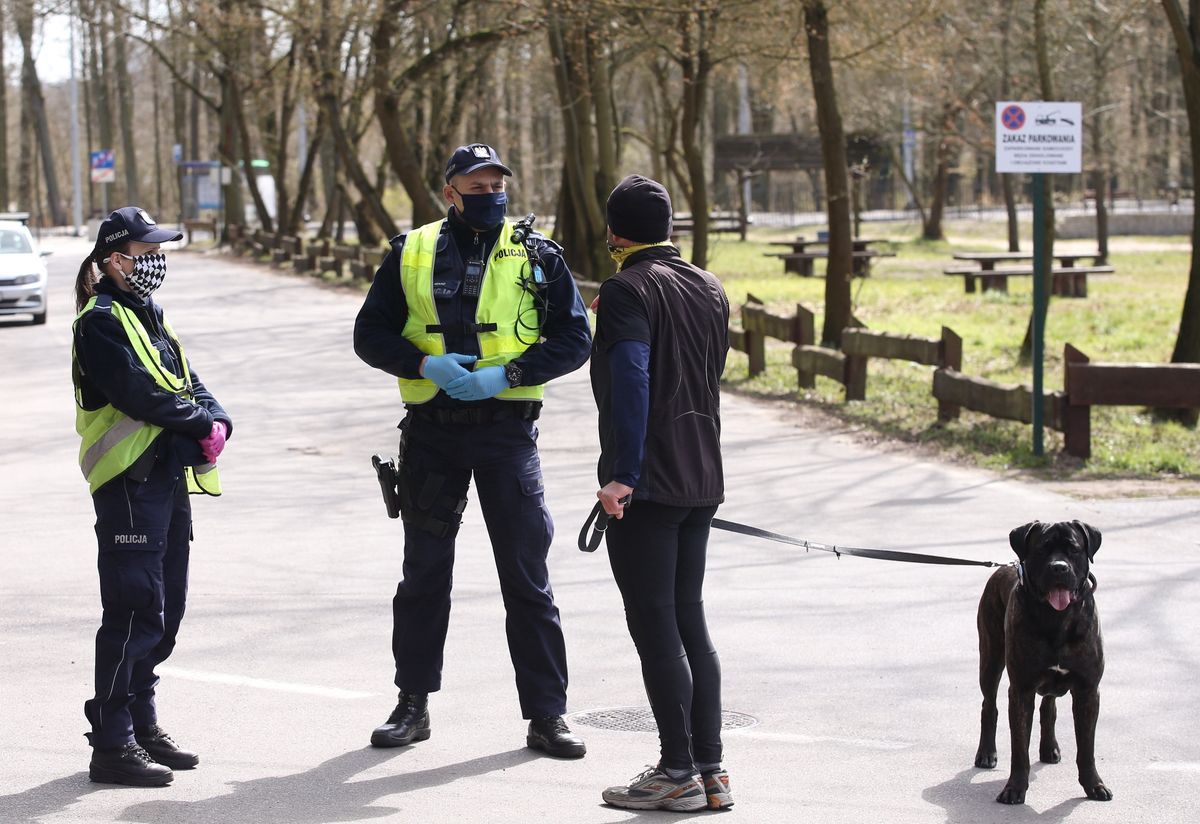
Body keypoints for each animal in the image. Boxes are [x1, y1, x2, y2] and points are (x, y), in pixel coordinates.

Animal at [969, 522, 1108, 806]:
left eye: (1073, 549)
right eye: (1042, 549)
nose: (1059, 567)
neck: (1057, 618)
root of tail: (1003, 566)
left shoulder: (1088, 690)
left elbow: (1086, 746)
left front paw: (1094, 785)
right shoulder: (1021, 690)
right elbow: (1019, 747)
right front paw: (1014, 788)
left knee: (1048, 707)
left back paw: (1049, 748)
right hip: (990, 656)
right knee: (989, 705)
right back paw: (986, 754)